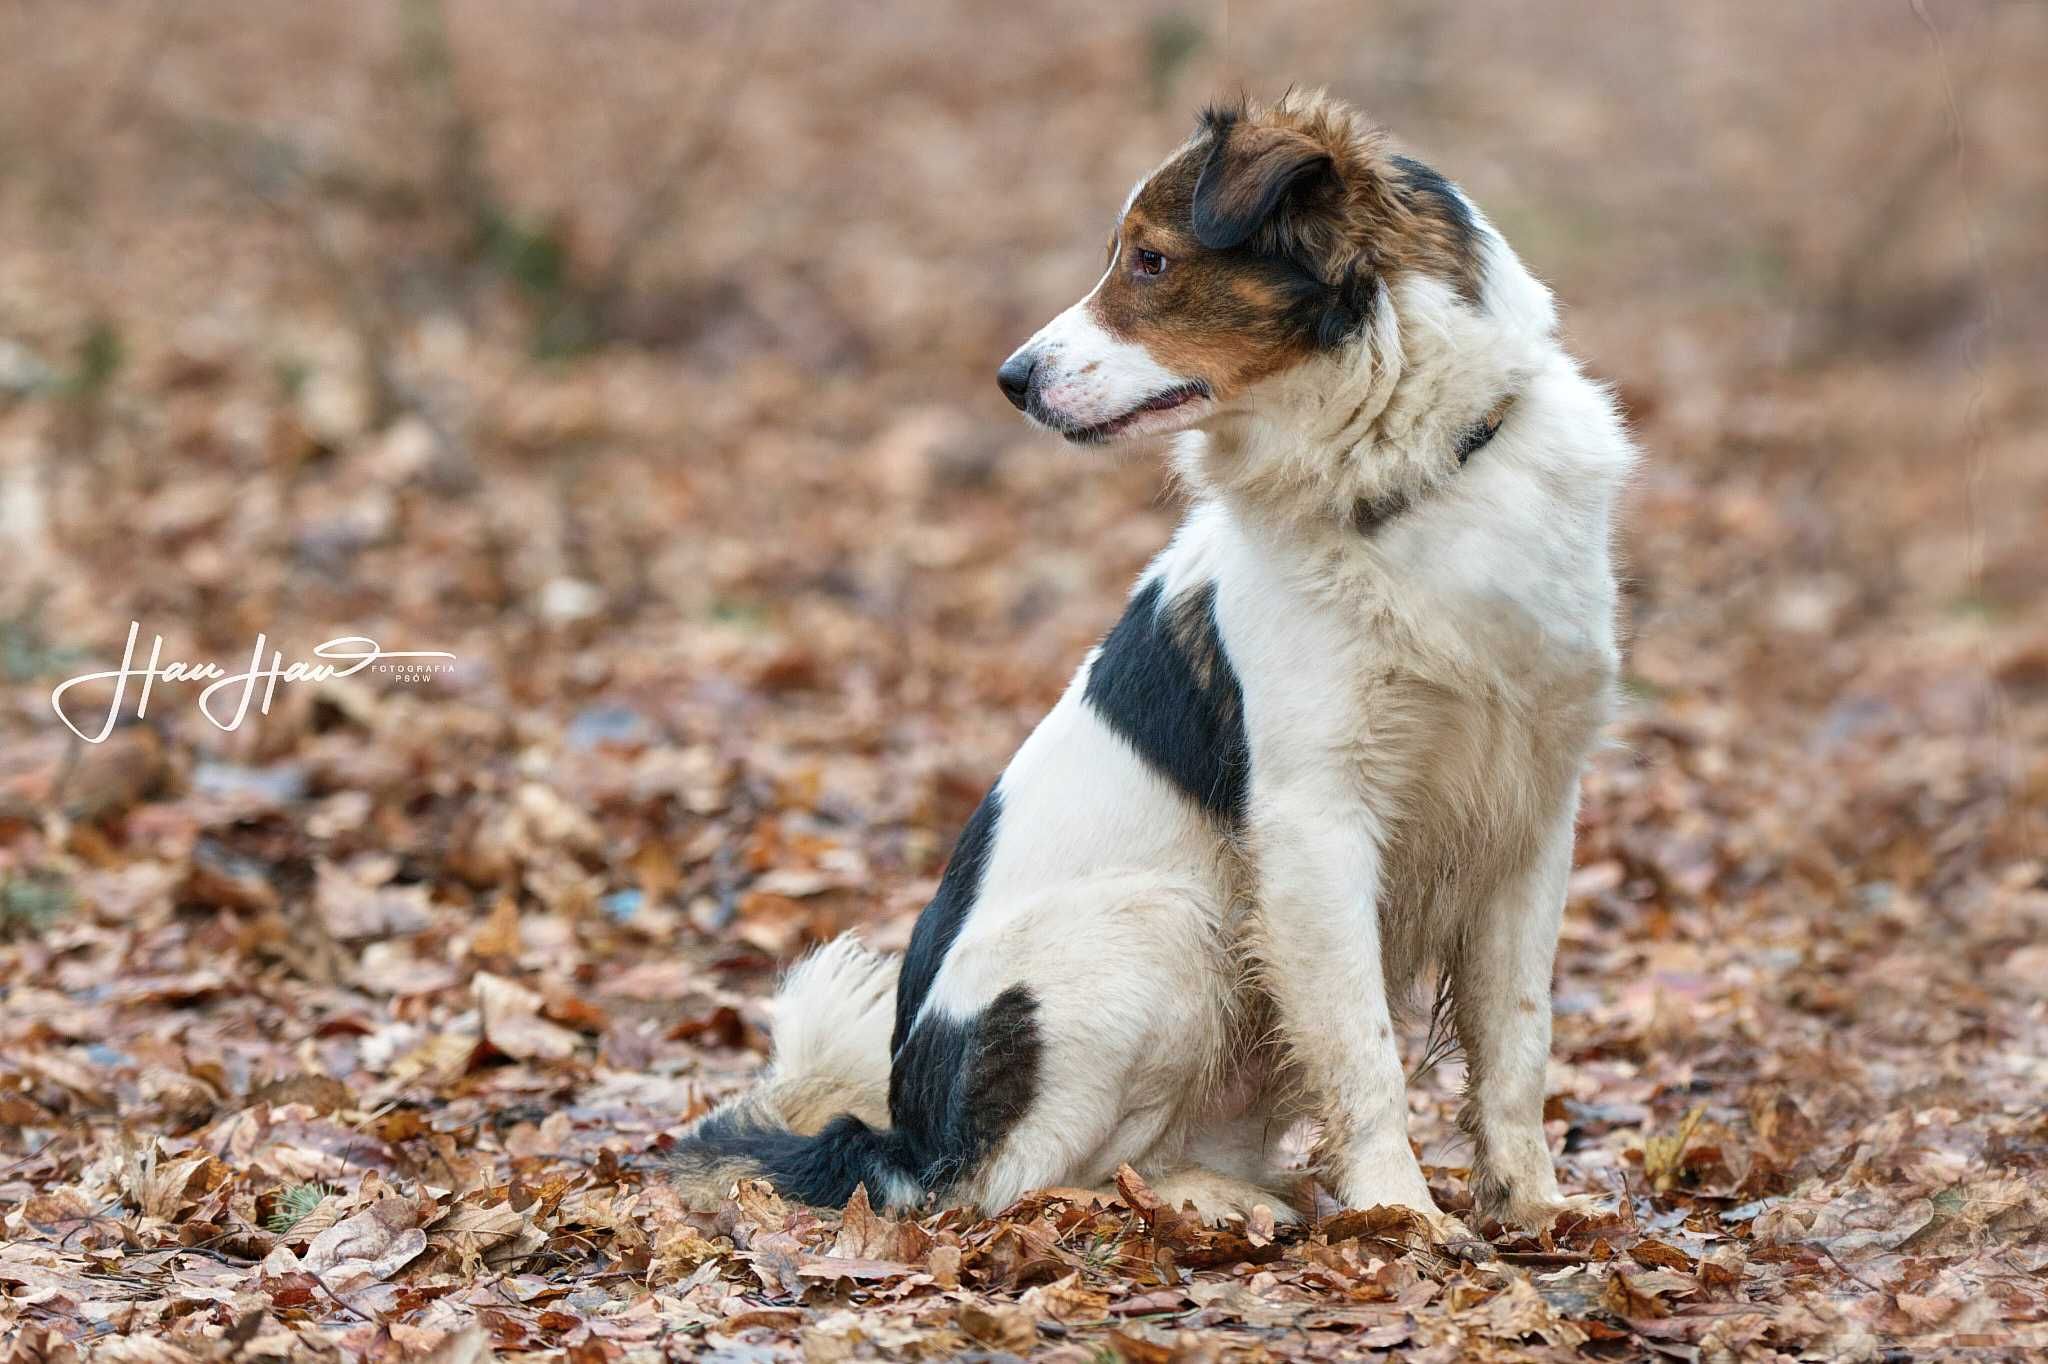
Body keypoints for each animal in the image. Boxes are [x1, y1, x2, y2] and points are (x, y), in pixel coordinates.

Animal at [671, 87, 1630, 1245]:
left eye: (1152, 260)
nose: (1010, 380)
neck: (1410, 480)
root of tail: (904, 1133)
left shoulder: (1532, 812)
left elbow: (1518, 1039)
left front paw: (1532, 1205)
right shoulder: (1316, 822)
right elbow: (1366, 1051)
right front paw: (1400, 1216)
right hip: (1167, 927)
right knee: (1012, 1184)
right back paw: (1200, 1200)